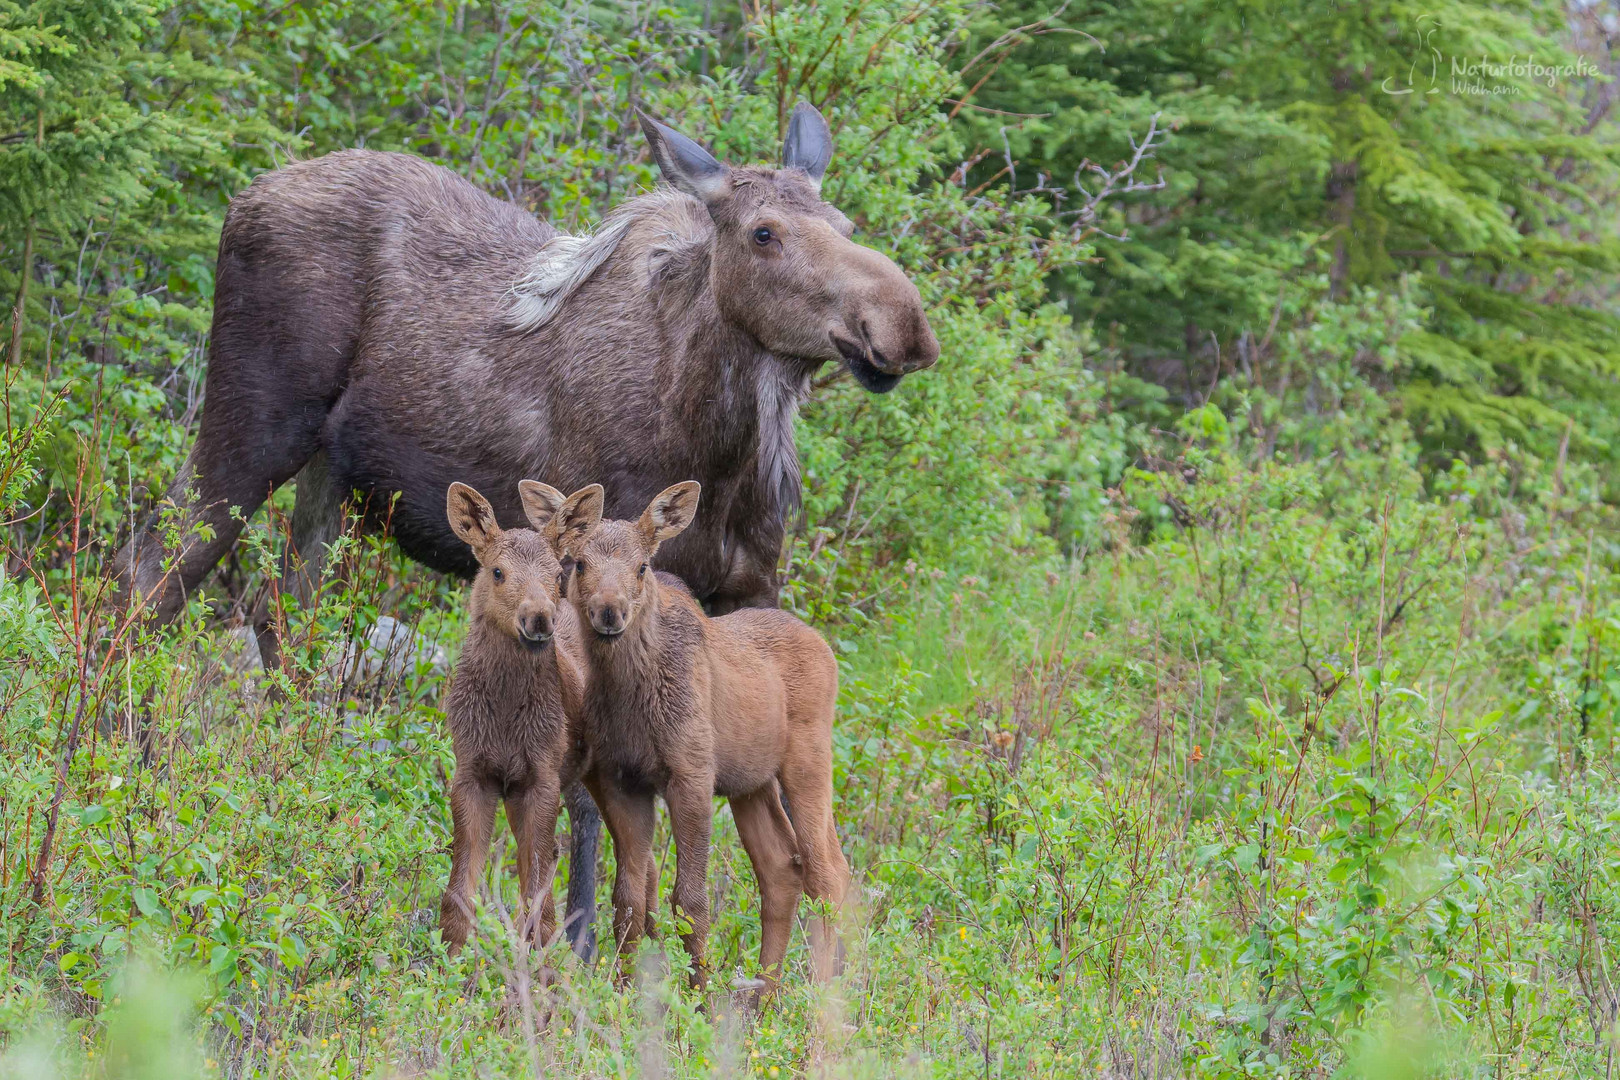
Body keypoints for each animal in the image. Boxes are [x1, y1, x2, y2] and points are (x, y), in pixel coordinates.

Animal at [440, 482, 592, 952]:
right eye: (497, 572)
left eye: (558, 575)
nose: (538, 617)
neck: (505, 718)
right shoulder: (473, 772)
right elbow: (458, 894)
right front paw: (448, 961)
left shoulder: (541, 778)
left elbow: (538, 903)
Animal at [541, 482, 855, 997]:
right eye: (580, 563)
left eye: (642, 566)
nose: (609, 612)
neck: (629, 695)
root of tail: (826, 649)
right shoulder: (623, 781)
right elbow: (629, 900)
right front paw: (626, 993)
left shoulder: (691, 774)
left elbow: (689, 902)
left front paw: (698, 999)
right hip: (751, 784)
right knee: (781, 870)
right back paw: (766, 998)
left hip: (807, 763)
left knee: (829, 873)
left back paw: (820, 997)